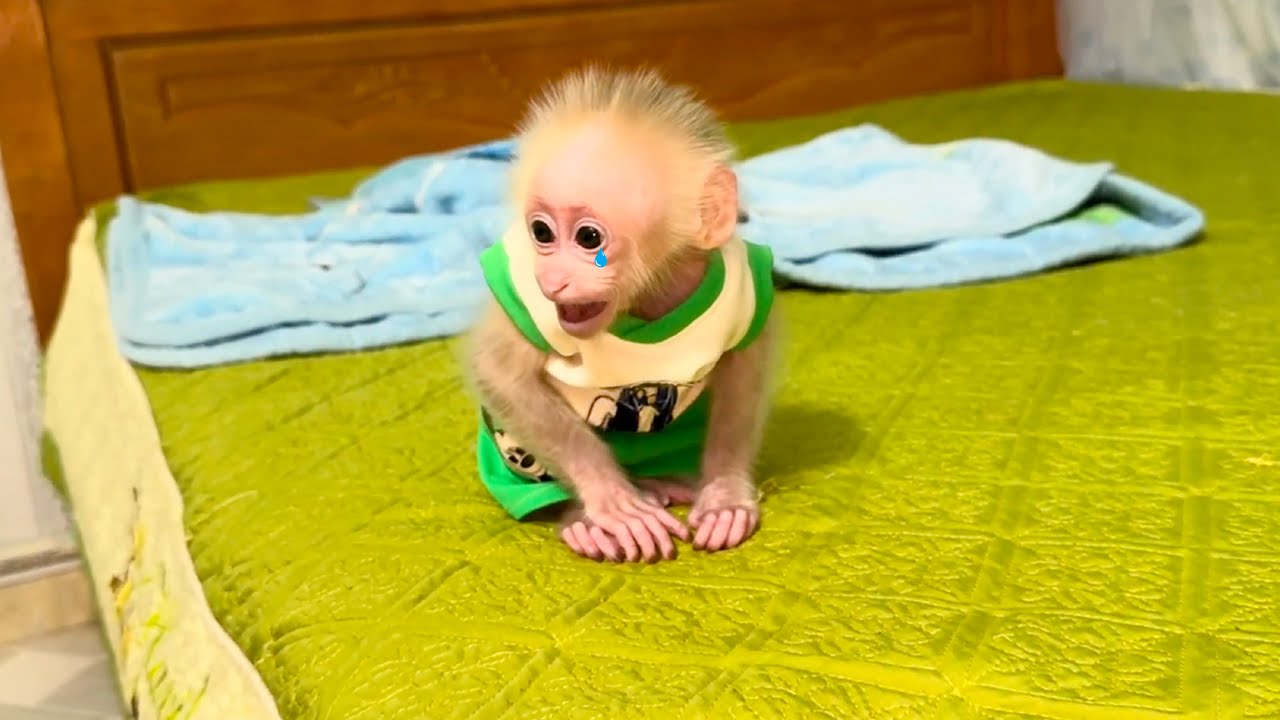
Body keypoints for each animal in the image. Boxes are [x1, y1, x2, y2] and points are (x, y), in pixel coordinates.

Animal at [462, 66, 778, 563]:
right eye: (541, 232)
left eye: (589, 238)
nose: (553, 279)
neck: (644, 299)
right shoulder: (523, 292)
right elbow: (498, 372)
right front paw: (610, 500)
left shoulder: (742, 277)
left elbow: (746, 363)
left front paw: (724, 492)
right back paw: (587, 517)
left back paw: (669, 479)